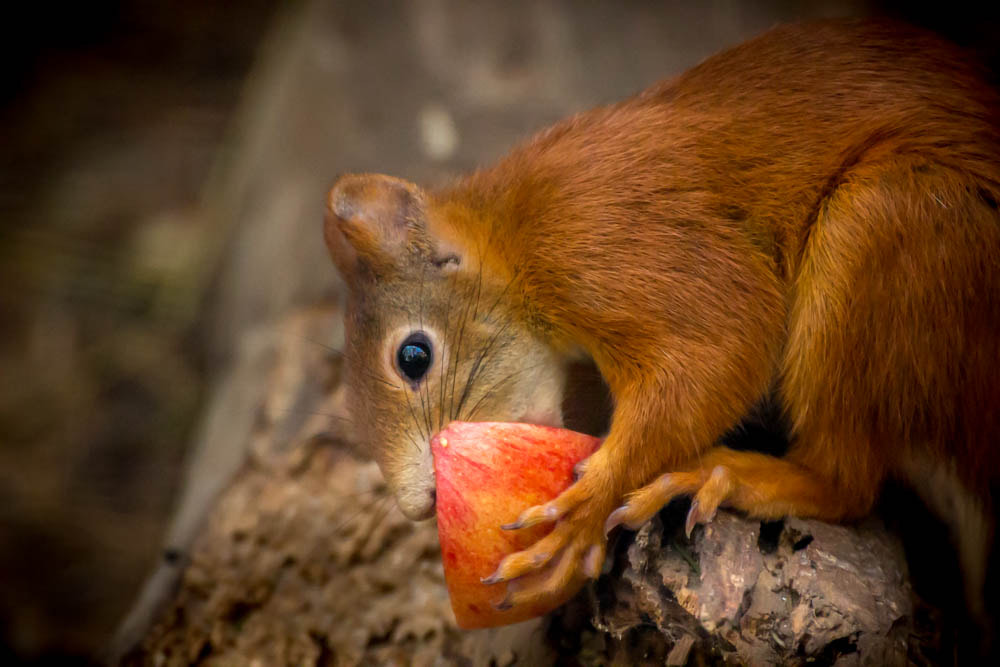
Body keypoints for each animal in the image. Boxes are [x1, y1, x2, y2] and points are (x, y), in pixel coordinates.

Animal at [324, 20, 1000, 621]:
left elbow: (726, 337)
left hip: (890, 226)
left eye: (414, 356)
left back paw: (728, 473)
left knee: (847, 482)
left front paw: (586, 511)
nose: (424, 504)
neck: (513, 237)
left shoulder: (599, 239)